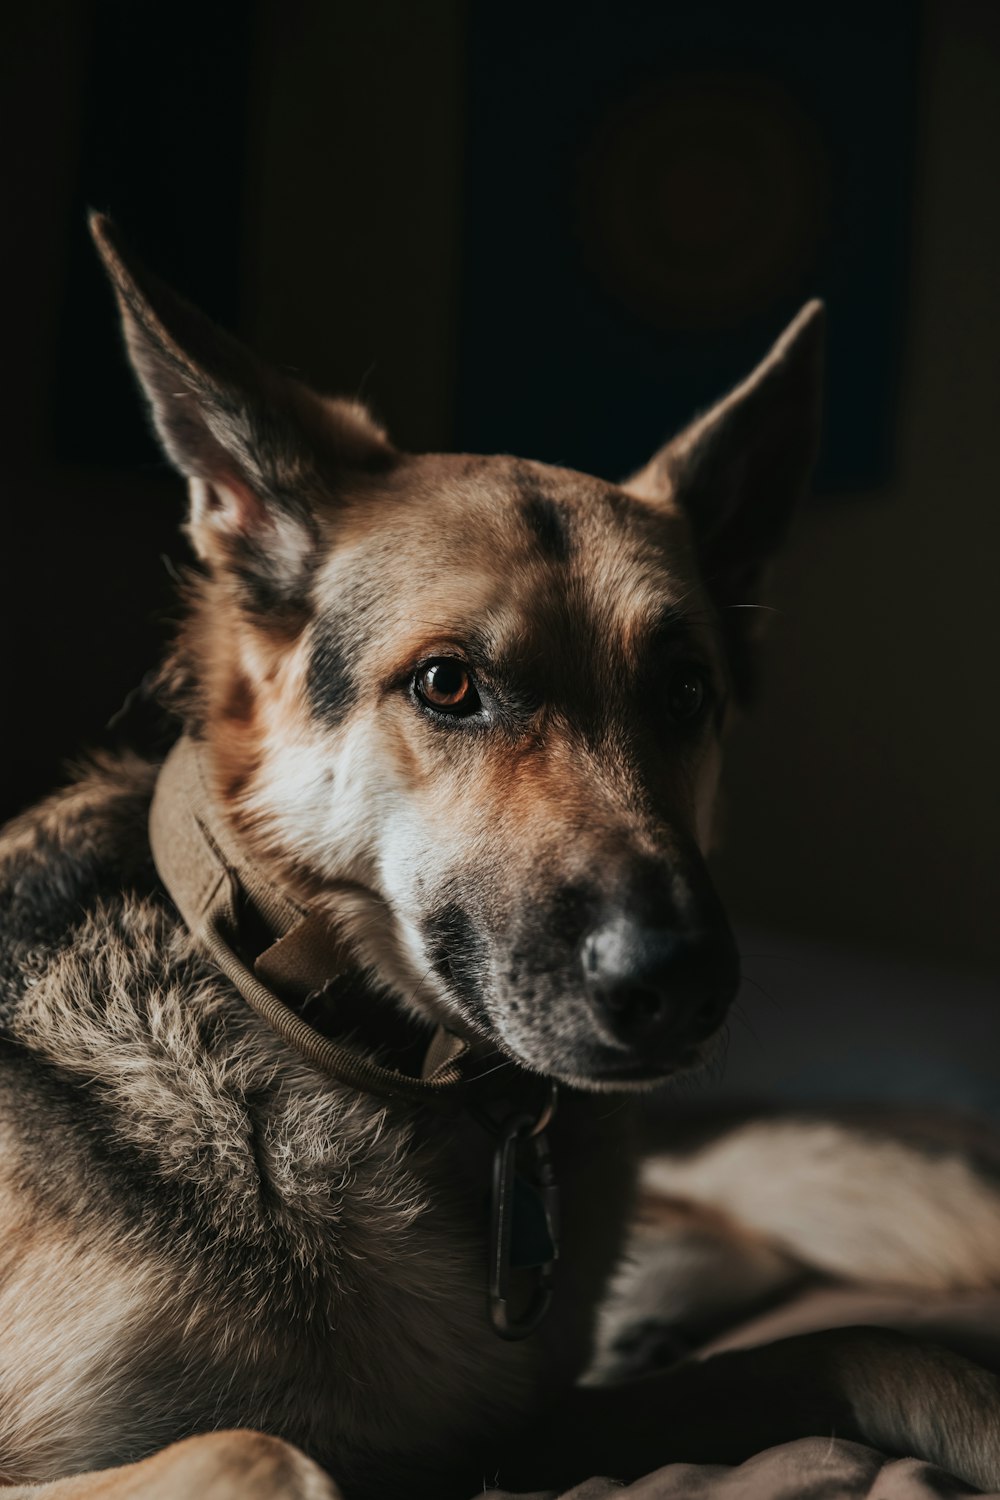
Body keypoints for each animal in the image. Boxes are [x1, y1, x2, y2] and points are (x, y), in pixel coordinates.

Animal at [1, 214, 1000, 1500]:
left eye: (686, 693)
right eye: (446, 684)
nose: (681, 987)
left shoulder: (520, 1439)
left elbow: (866, 1345)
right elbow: (270, 1448)